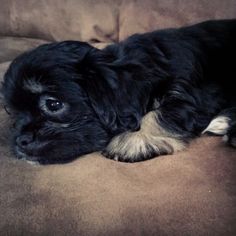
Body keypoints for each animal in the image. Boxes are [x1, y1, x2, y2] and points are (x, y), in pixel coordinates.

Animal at [1, 18, 236, 164]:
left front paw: (133, 140)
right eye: (13, 113)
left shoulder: (193, 93)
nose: (20, 141)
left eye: (53, 104)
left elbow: (160, 113)